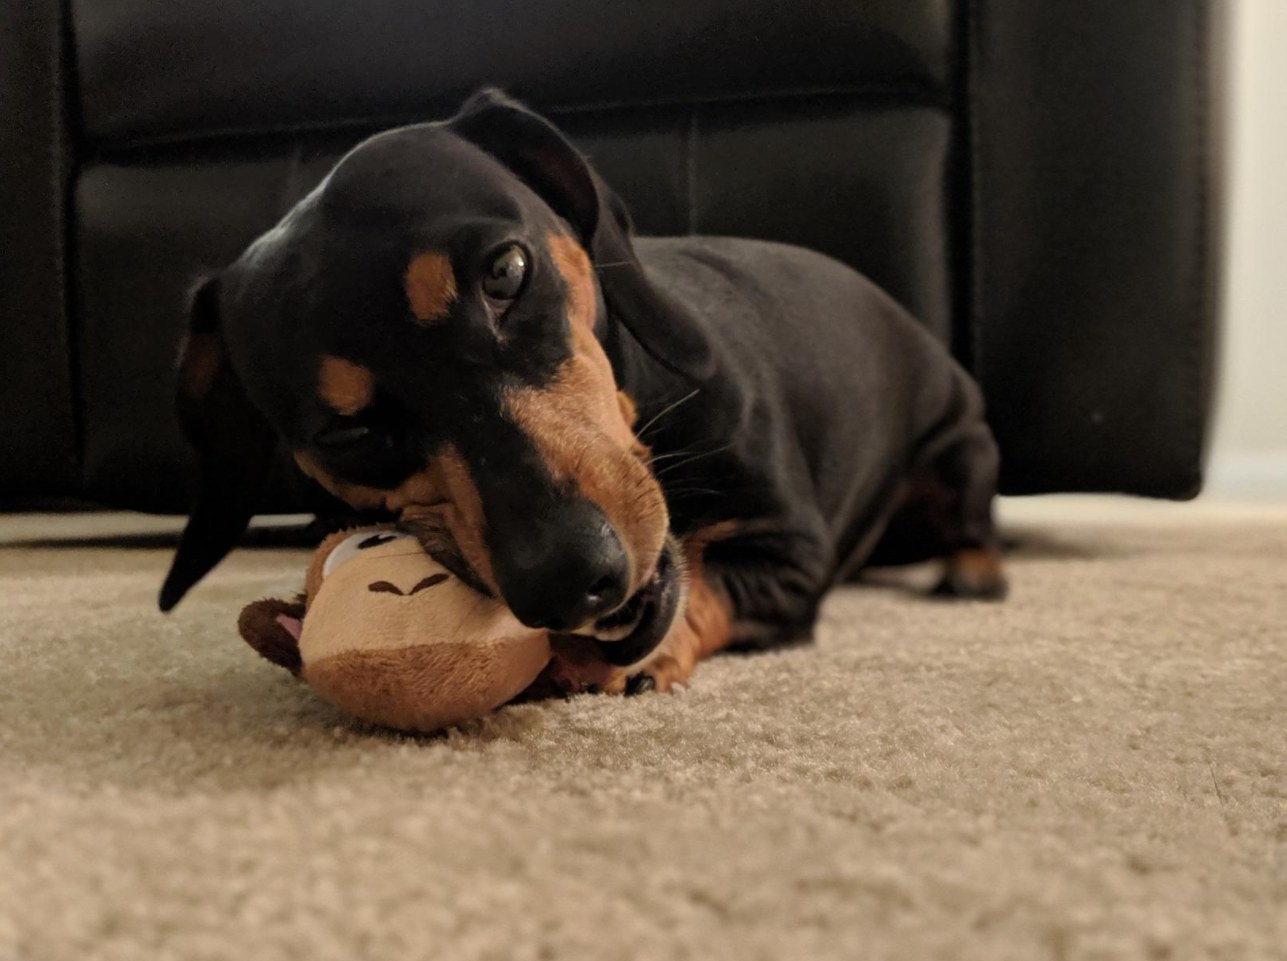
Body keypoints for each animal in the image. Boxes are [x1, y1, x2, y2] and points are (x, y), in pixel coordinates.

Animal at [160, 88, 1003, 689]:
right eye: (344, 433)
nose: (570, 581)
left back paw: (974, 570)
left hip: (962, 449)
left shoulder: (792, 548)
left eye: (505, 270)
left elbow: (708, 580)